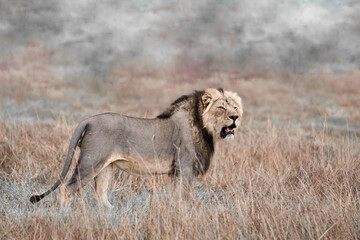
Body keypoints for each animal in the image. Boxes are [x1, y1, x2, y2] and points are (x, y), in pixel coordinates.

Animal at [29, 87, 243, 207]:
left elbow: (176, 197)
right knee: (67, 189)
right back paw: (64, 214)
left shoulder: (176, 172)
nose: (235, 117)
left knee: (100, 196)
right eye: (221, 108)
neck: (203, 126)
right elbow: (185, 197)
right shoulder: (185, 167)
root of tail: (88, 120)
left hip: (105, 167)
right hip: (90, 163)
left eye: (234, 107)